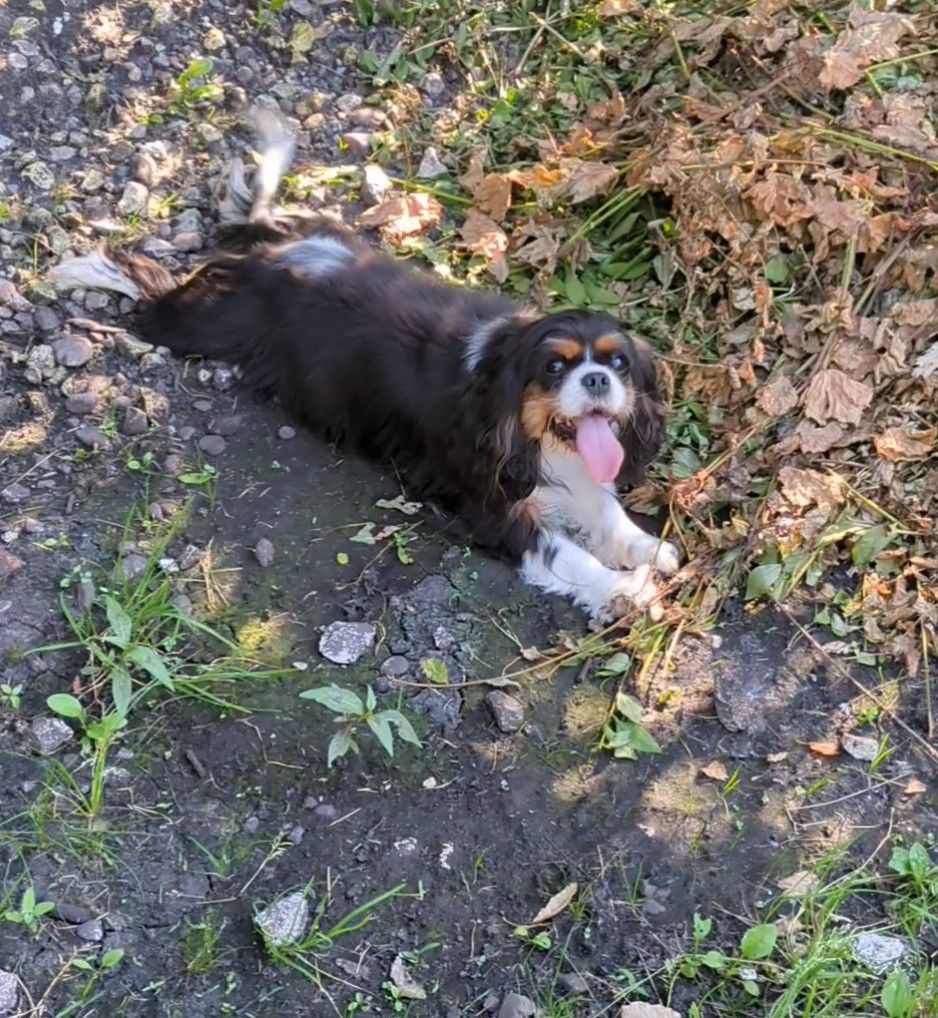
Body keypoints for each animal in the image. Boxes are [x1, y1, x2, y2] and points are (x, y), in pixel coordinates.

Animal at [51, 112, 676, 618]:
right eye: (554, 368)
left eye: (618, 365)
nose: (595, 379)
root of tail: (274, 246)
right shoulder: (495, 508)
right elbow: (568, 553)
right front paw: (623, 590)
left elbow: (607, 514)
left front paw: (649, 550)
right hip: (204, 324)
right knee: (147, 290)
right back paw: (76, 269)